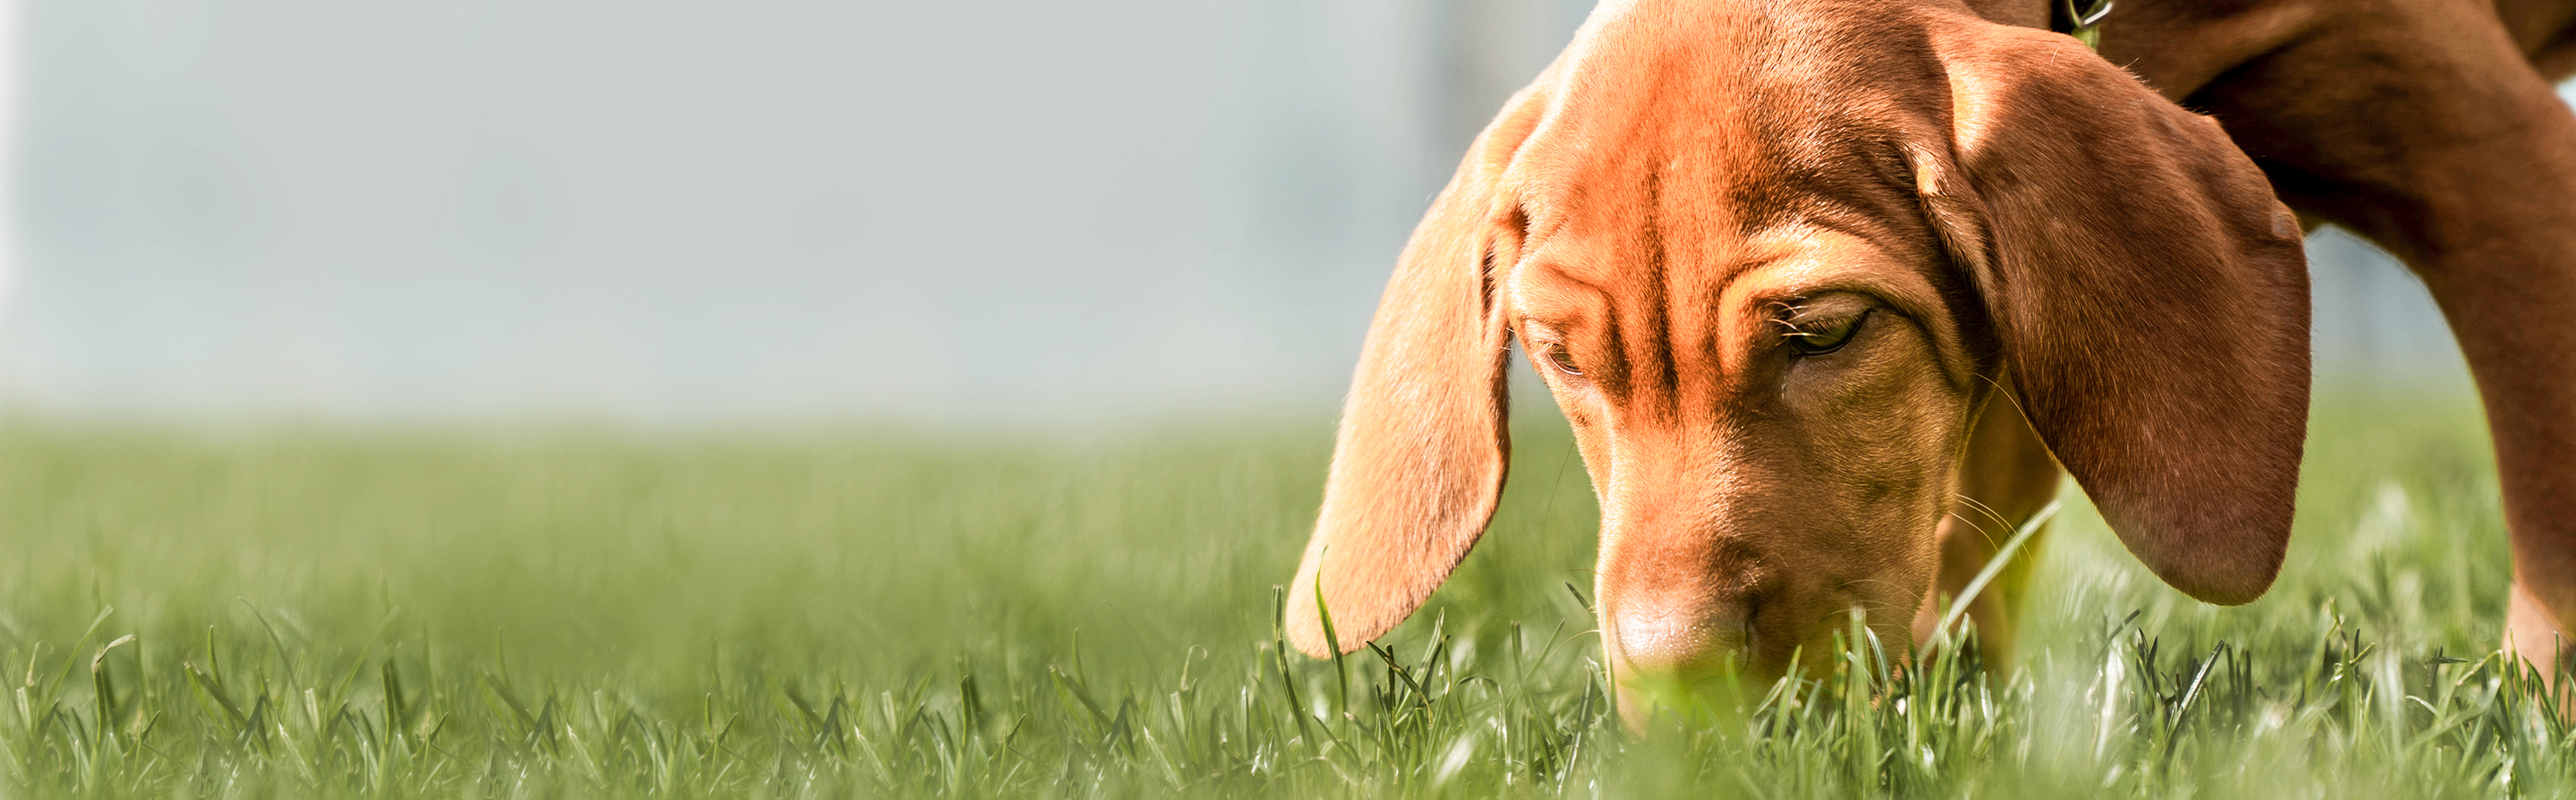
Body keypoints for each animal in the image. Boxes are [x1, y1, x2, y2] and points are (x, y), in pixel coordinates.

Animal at [1288, 0, 2576, 722]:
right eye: (1558, 356)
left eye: (1823, 330)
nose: (1676, 676)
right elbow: (1964, 540)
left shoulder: (2497, 163)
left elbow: (2552, 498)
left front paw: (2545, 704)